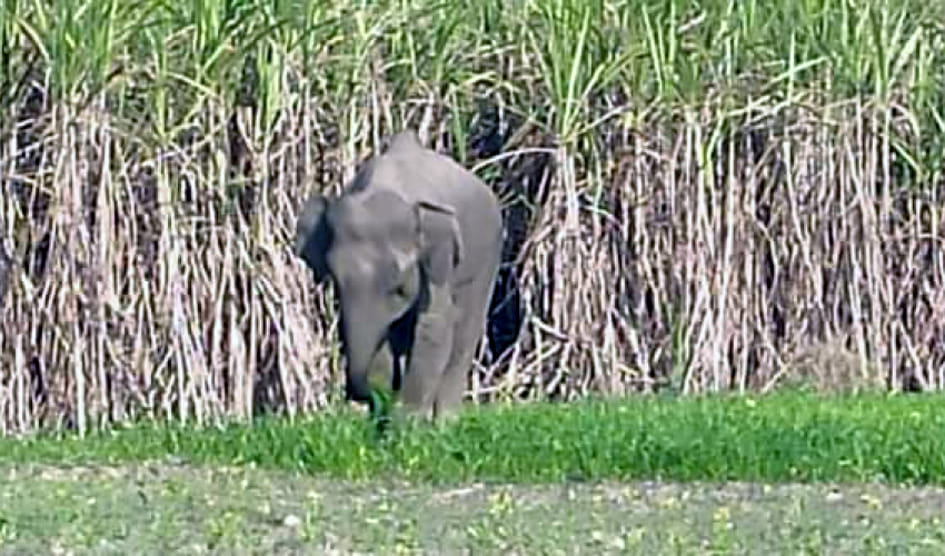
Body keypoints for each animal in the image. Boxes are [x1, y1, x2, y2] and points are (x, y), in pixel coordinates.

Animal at [294, 130, 503, 422]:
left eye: (399, 288)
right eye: (334, 279)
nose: (363, 395)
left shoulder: (440, 262)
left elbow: (435, 324)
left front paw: (408, 422)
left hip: (488, 256)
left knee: (465, 330)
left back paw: (446, 420)